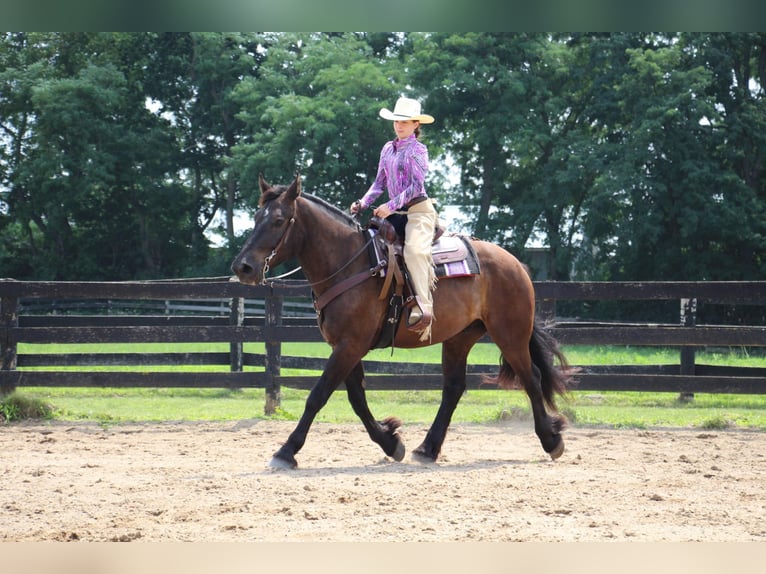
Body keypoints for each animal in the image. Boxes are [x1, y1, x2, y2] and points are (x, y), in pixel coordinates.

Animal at [234, 173, 576, 470]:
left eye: (279, 220)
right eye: (256, 217)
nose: (243, 267)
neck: (352, 264)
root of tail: (515, 263)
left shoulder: (349, 346)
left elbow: (318, 396)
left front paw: (285, 452)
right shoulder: (346, 346)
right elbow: (357, 398)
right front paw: (390, 441)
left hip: (510, 334)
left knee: (531, 378)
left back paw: (551, 440)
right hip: (460, 337)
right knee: (454, 387)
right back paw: (427, 449)